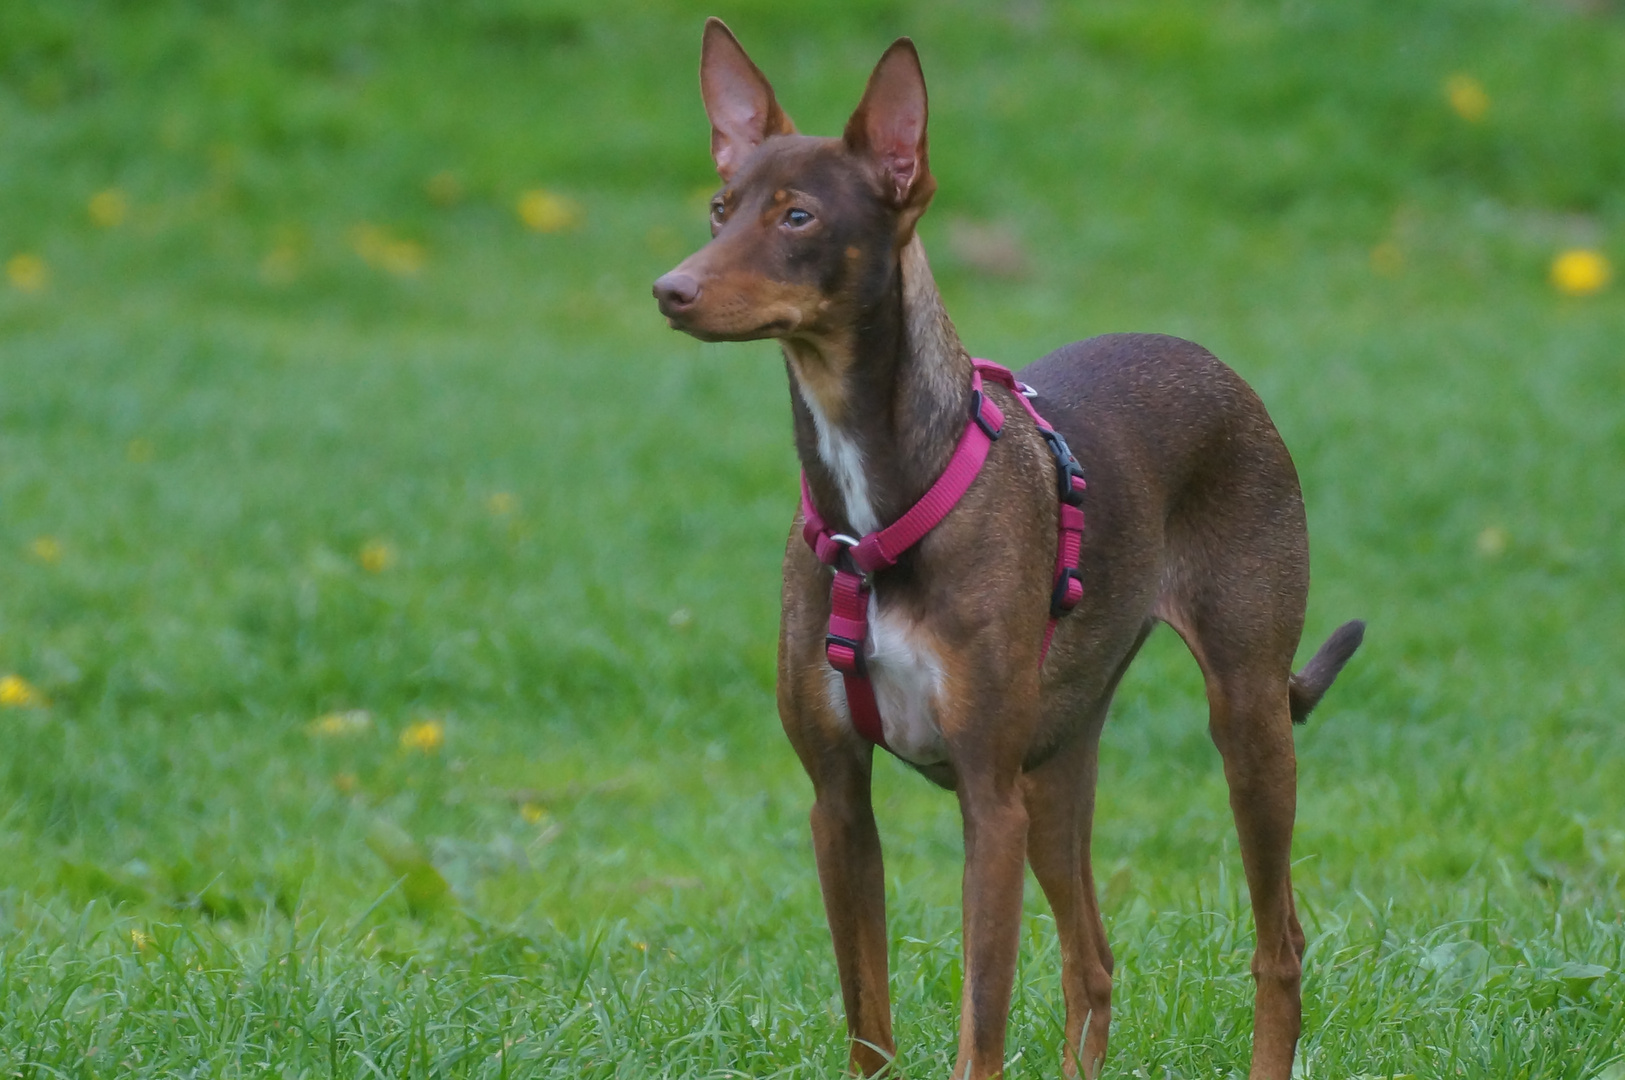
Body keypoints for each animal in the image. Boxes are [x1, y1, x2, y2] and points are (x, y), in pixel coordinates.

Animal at [653, 18, 1365, 1078]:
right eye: (718, 208)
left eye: (798, 219)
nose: (671, 290)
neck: (875, 507)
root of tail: (1210, 362)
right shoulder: (838, 800)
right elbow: (868, 1024)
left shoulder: (987, 802)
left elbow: (977, 1025)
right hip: (1057, 758)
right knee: (1092, 961)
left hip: (1243, 719)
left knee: (1277, 942)